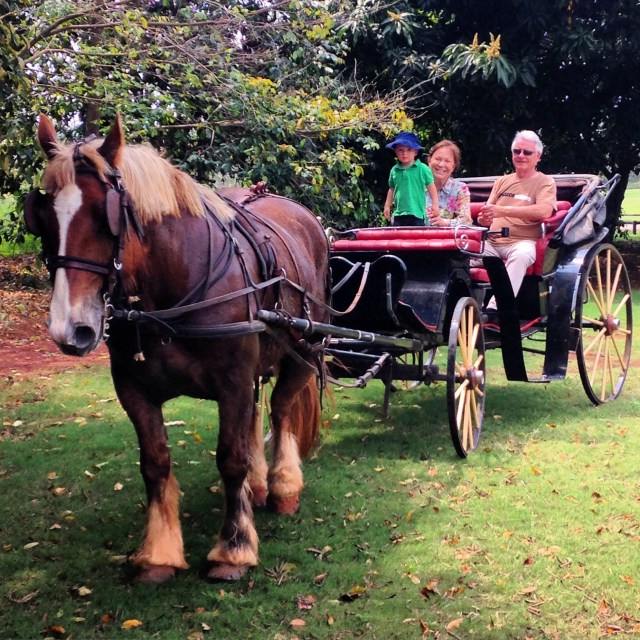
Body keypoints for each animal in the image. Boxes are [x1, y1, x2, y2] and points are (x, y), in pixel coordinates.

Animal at [24, 114, 331, 583]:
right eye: (42, 218)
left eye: (103, 216)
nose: (68, 329)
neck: (174, 290)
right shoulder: (133, 389)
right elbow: (155, 463)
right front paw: (160, 553)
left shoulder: (233, 382)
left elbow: (231, 458)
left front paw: (233, 548)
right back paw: (260, 486)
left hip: (304, 349)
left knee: (281, 411)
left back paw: (282, 486)